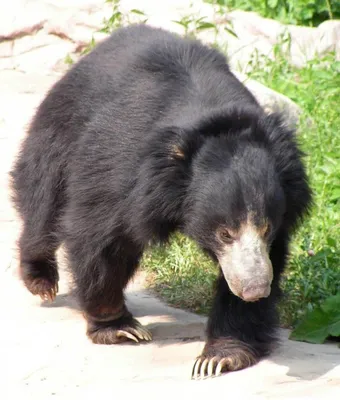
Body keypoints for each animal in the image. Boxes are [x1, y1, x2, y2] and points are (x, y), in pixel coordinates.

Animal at [9, 23, 312, 380]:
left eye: (266, 228)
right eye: (224, 233)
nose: (255, 289)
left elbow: (270, 259)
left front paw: (220, 356)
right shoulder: (122, 168)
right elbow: (100, 236)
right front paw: (119, 327)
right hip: (61, 127)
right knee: (42, 198)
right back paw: (41, 279)